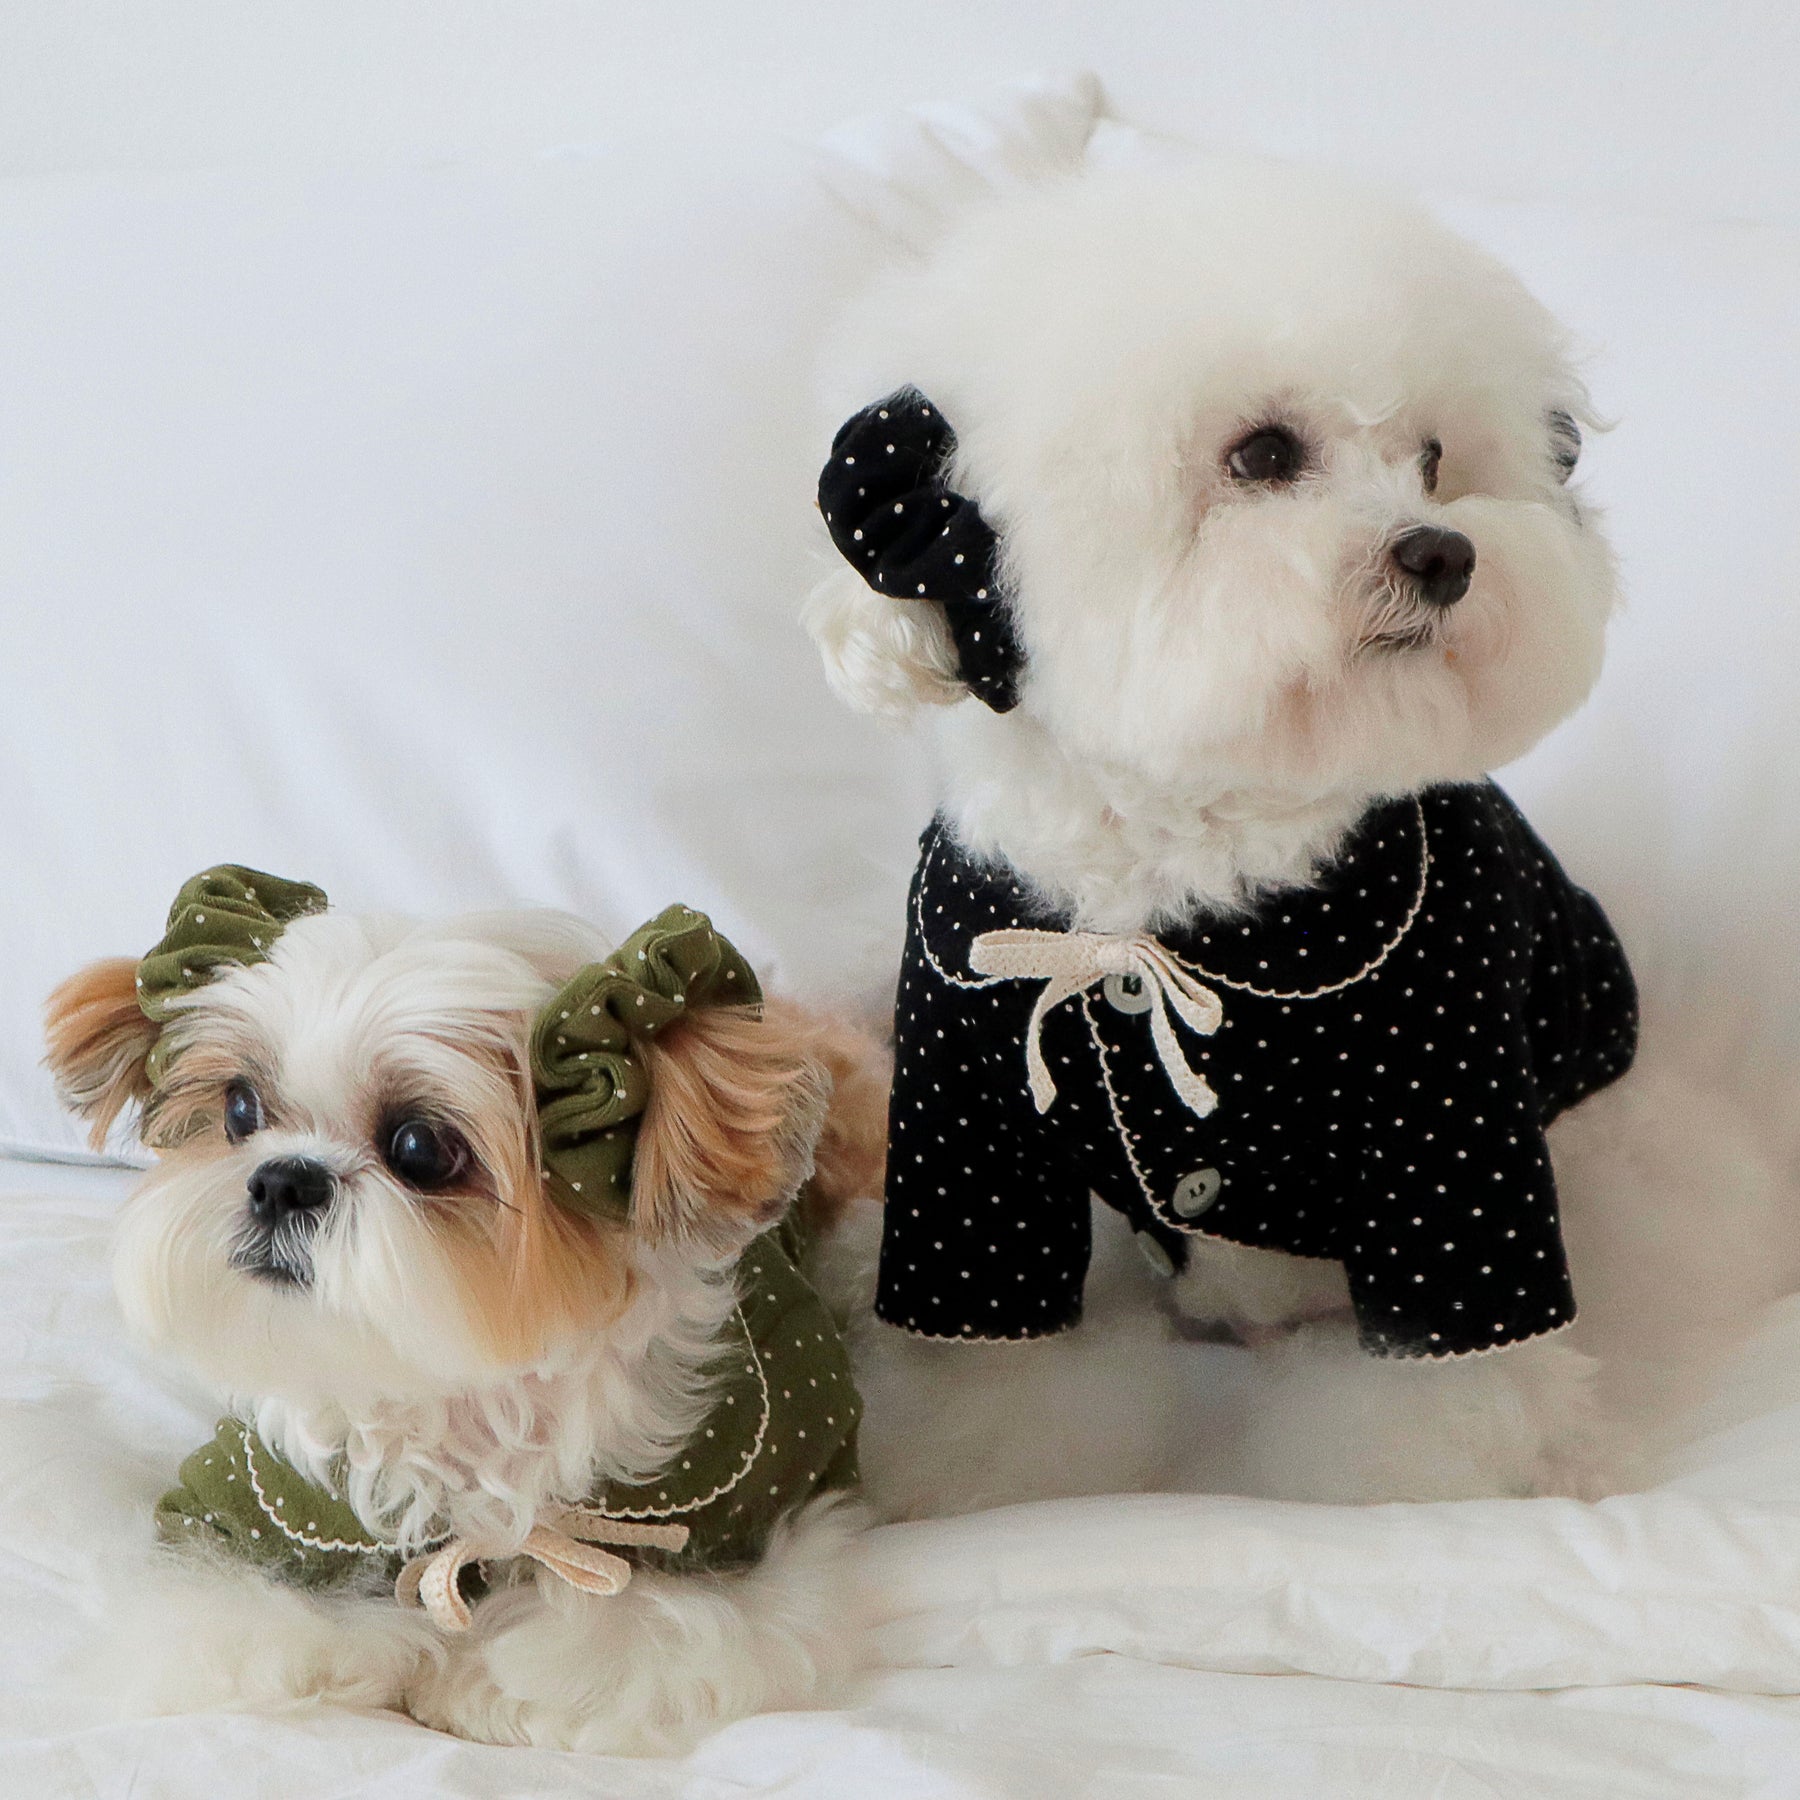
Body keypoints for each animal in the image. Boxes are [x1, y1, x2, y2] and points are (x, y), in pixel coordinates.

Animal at [43, 868, 890, 1753]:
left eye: (420, 1147)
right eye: (241, 1109)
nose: (281, 1179)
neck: (467, 1400)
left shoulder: (753, 1497)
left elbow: (645, 1622)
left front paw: (480, 1676)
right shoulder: (254, 1502)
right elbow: (238, 1611)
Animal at [807, 154, 1797, 1503]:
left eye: (1434, 458)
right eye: (1265, 453)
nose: (1443, 553)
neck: (1187, 869)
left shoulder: (1454, 1132)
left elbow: (1448, 1375)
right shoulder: (971, 1133)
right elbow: (990, 1365)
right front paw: (979, 1480)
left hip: (1610, 1169)